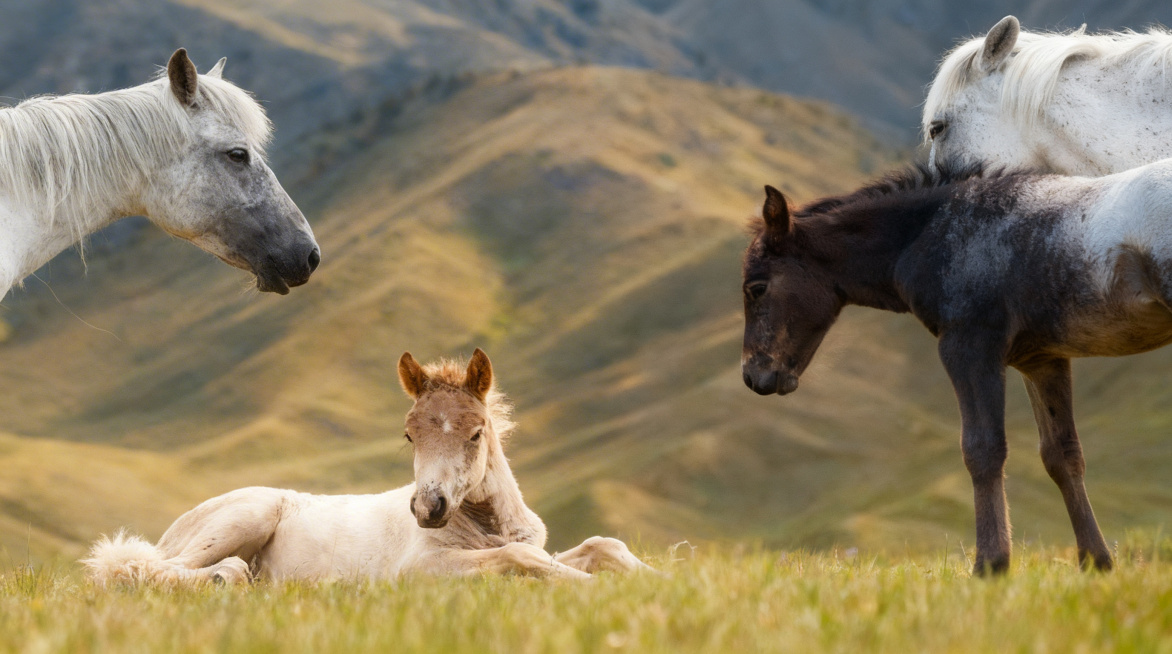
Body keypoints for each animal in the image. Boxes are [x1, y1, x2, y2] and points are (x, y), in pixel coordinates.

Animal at [83, 349, 650, 584]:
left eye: (475, 433)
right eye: (409, 434)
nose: (428, 508)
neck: (486, 523)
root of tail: (174, 527)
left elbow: (601, 545)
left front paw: (656, 580)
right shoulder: (420, 571)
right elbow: (524, 558)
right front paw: (594, 591)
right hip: (247, 516)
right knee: (140, 569)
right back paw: (229, 577)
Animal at [740, 158, 1172, 575]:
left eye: (756, 288)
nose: (753, 375)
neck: (933, 232)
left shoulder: (968, 345)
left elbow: (983, 449)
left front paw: (991, 565)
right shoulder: (1041, 359)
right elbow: (1062, 455)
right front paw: (1096, 563)